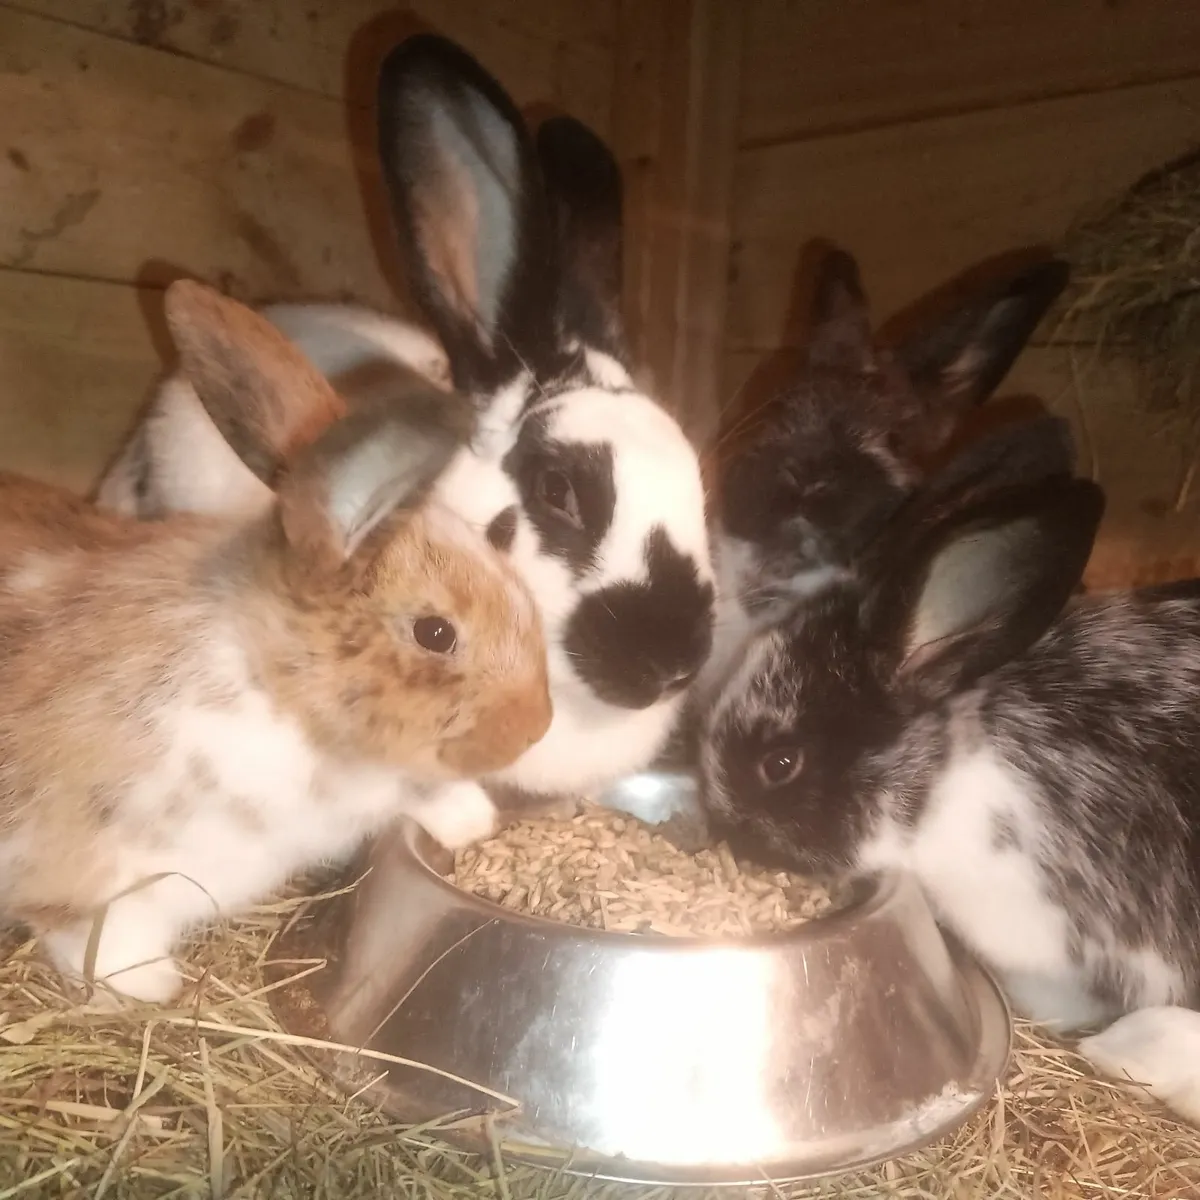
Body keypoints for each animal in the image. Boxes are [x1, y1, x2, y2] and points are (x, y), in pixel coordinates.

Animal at [0, 277, 551, 1004]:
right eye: (435, 633)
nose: (536, 726)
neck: (276, 692)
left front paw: (471, 820)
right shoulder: (94, 866)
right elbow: (91, 932)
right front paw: (151, 985)